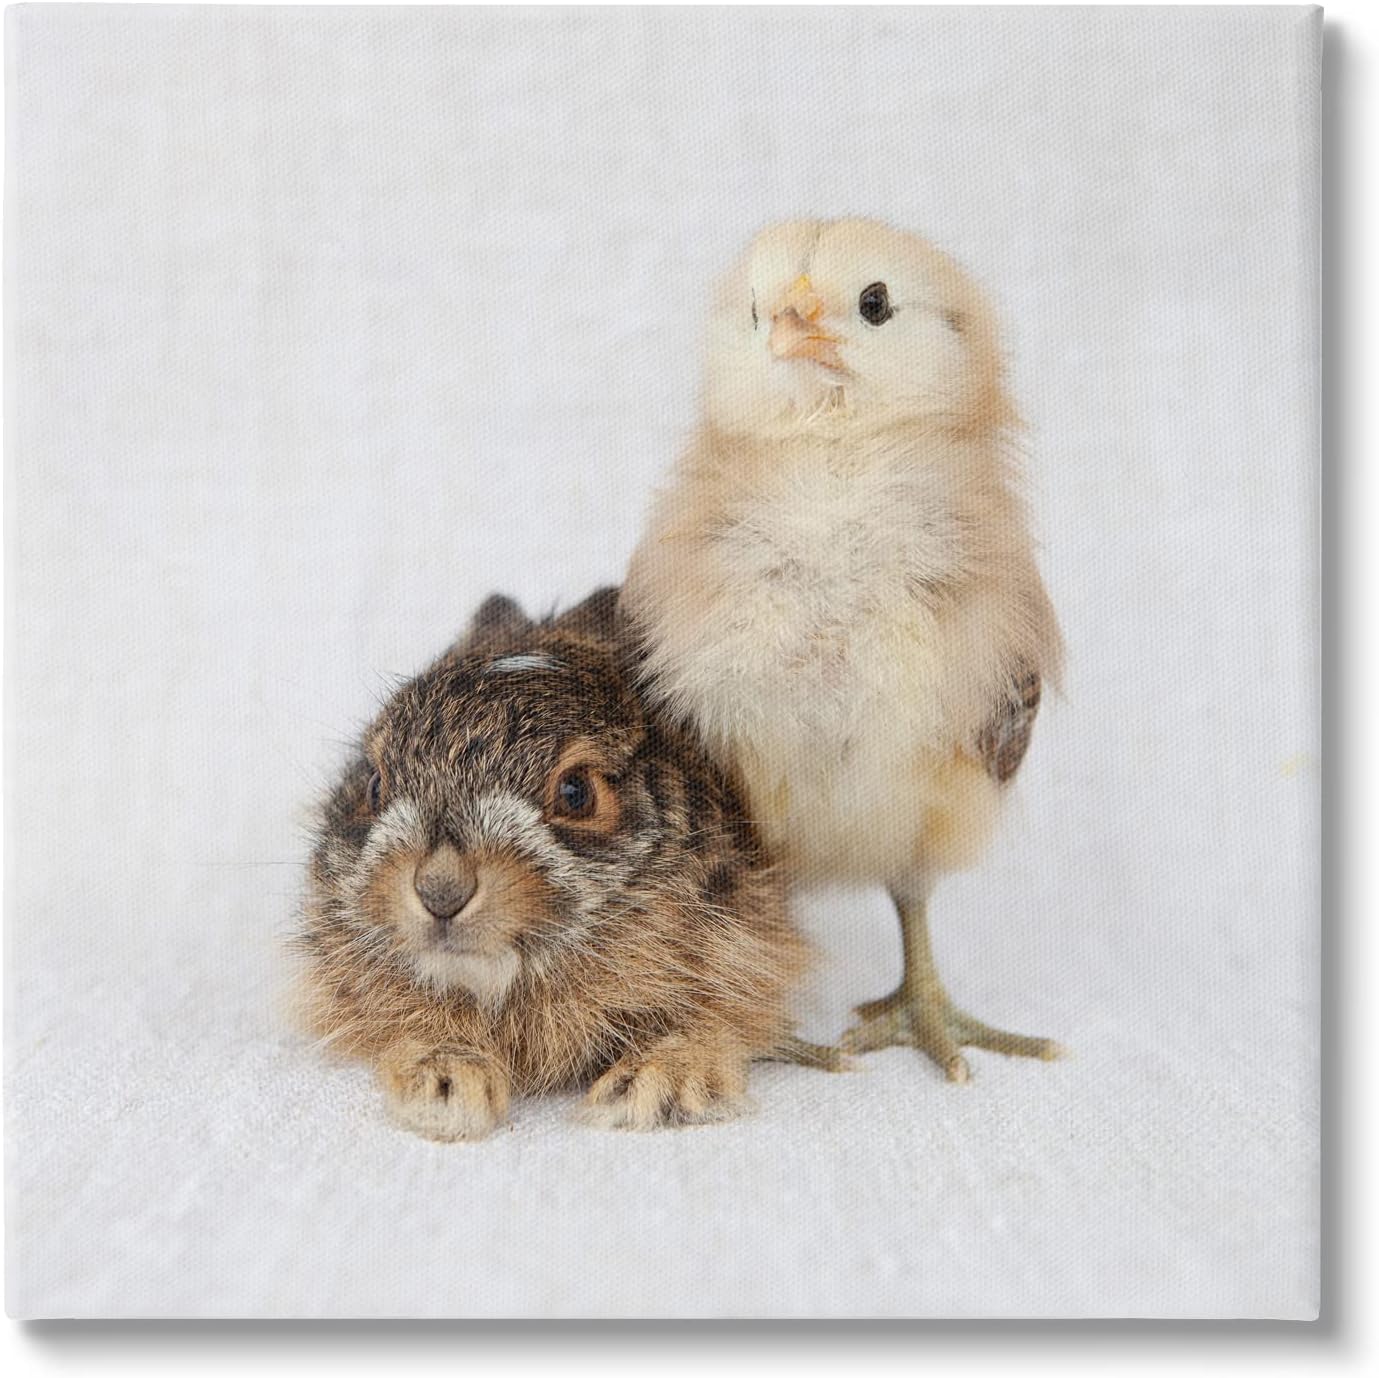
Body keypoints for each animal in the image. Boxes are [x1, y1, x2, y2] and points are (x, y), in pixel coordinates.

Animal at [293, 587, 812, 1141]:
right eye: (374, 786)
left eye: (576, 793)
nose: (441, 891)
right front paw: (445, 1089)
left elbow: (710, 1021)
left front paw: (653, 1088)